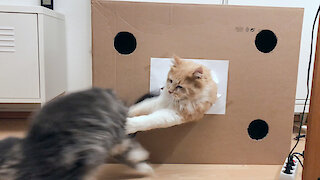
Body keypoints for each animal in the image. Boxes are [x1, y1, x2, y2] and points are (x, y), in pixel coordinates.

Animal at [0, 88, 154, 179]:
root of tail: (105, 91)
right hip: (105, 140)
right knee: (126, 150)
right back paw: (145, 166)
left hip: (108, 135)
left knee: (128, 146)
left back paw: (144, 162)